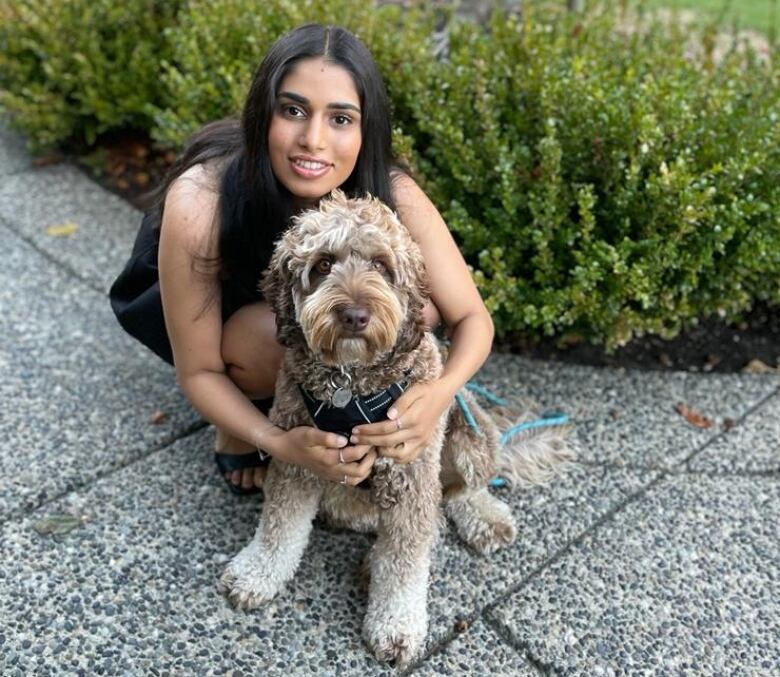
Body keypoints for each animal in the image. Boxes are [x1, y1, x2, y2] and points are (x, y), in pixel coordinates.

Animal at [216, 187, 568, 664]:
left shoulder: (411, 473)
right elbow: (279, 526)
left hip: (469, 433)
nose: (354, 315)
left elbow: (405, 560)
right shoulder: (297, 459)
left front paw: (397, 626)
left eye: (381, 265)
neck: (349, 383)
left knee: (457, 495)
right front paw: (257, 573)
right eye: (323, 264)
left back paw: (482, 518)